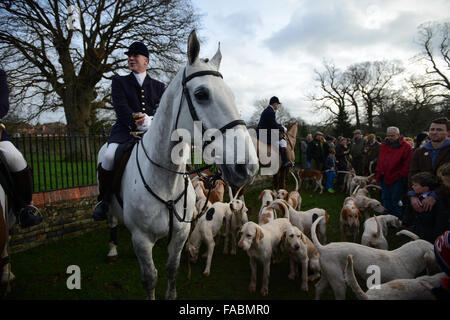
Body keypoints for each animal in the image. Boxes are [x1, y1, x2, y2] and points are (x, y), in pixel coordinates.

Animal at [96, 30, 258, 300]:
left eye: (232, 95)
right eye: (201, 94)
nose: (248, 167)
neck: (165, 181)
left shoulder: (181, 235)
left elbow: (172, 270)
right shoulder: (142, 239)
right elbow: (150, 278)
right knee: (110, 221)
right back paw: (111, 250)